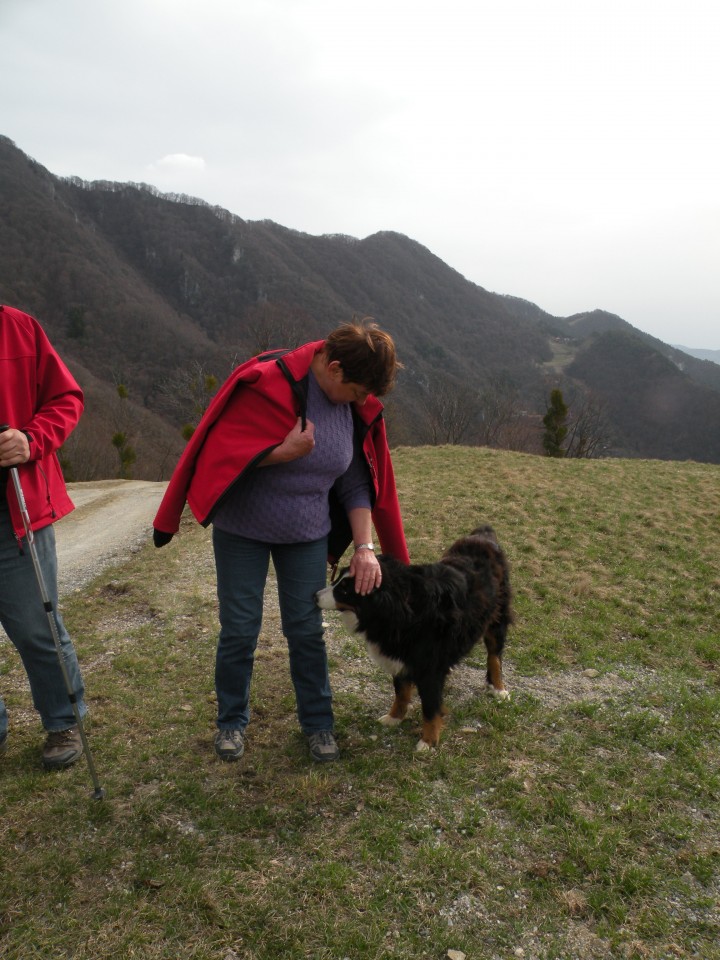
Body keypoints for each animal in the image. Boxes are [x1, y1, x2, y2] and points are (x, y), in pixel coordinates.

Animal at [316, 524, 512, 752]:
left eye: (345, 590)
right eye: (338, 580)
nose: (314, 596)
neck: (403, 610)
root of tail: (483, 534)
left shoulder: (429, 667)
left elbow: (430, 707)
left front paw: (428, 741)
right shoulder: (399, 653)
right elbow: (401, 691)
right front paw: (394, 717)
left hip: (496, 618)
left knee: (495, 656)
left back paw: (498, 688)